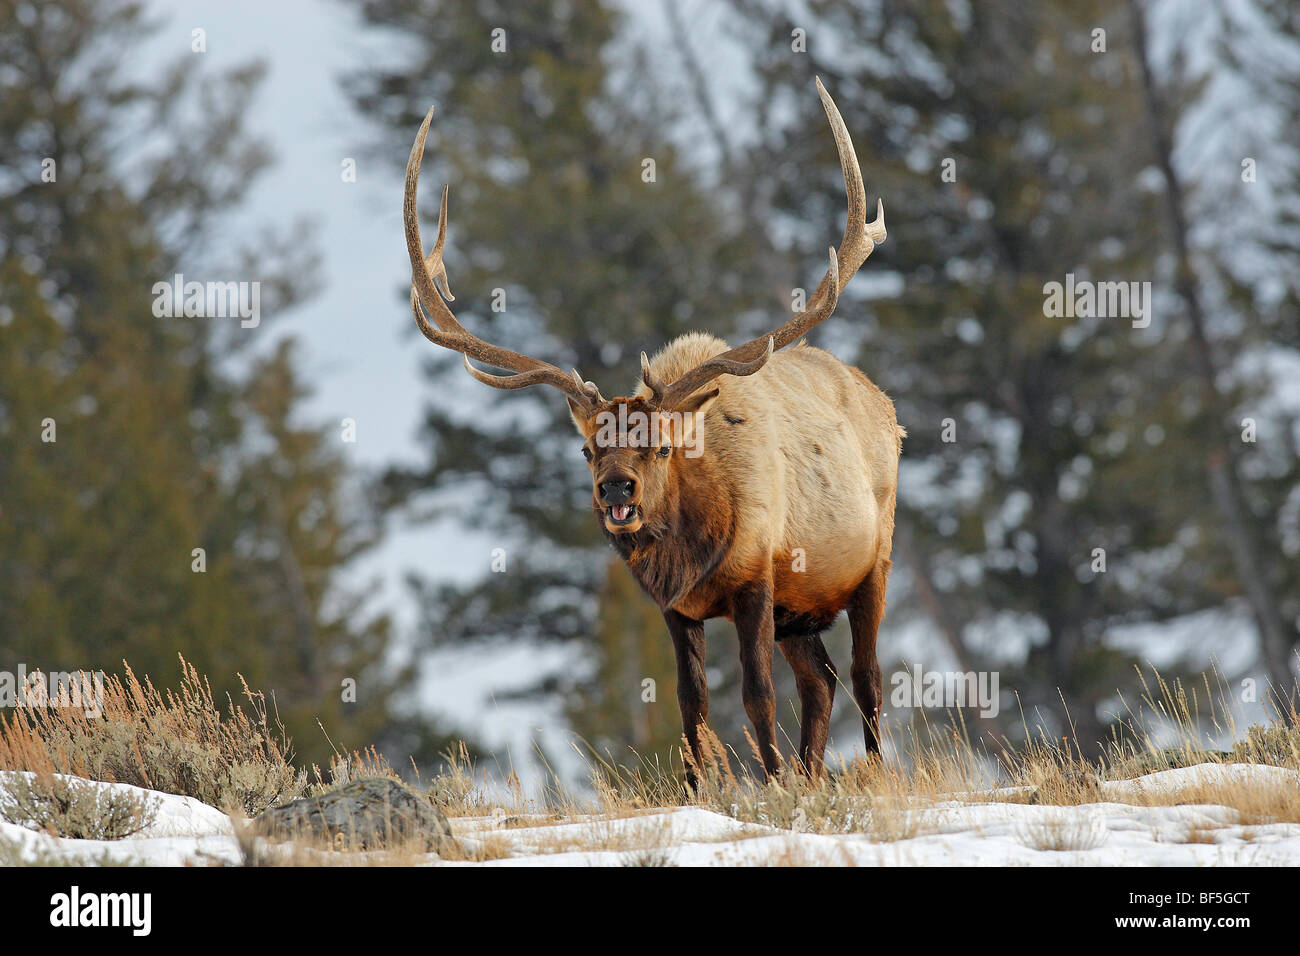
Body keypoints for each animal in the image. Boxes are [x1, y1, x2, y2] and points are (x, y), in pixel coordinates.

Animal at [403, 78, 902, 785]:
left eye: (659, 444)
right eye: (587, 448)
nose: (617, 491)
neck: (699, 540)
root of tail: (880, 399)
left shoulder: (758, 579)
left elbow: (756, 692)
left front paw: (773, 783)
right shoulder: (675, 607)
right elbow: (690, 703)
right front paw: (704, 788)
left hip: (871, 561)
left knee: (866, 676)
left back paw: (867, 772)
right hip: (802, 611)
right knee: (822, 681)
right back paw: (812, 772)